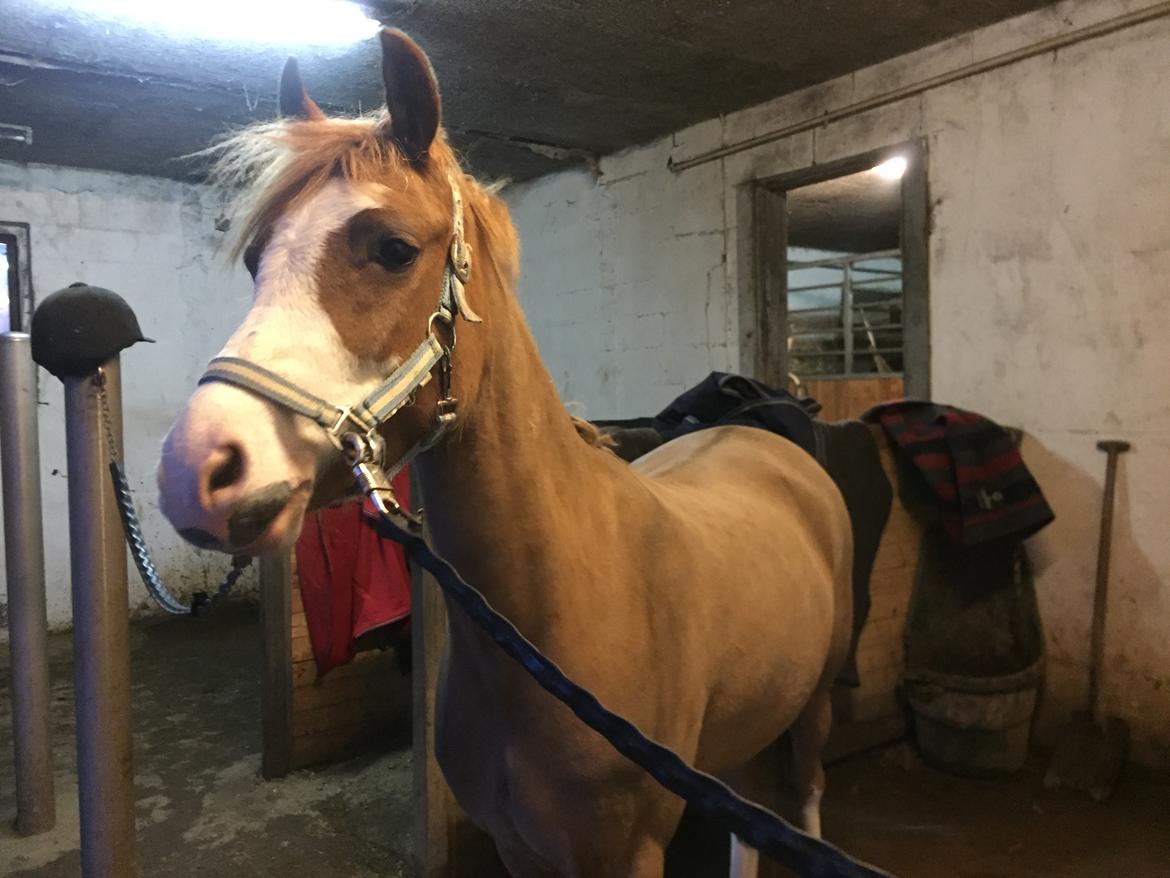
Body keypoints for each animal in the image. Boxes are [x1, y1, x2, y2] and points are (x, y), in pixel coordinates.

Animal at [156, 29, 854, 878]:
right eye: (258, 259)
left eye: (394, 249)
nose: (195, 470)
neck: (553, 625)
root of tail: (761, 432)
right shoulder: (519, 845)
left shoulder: (627, 855)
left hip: (814, 705)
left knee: (806, 800)